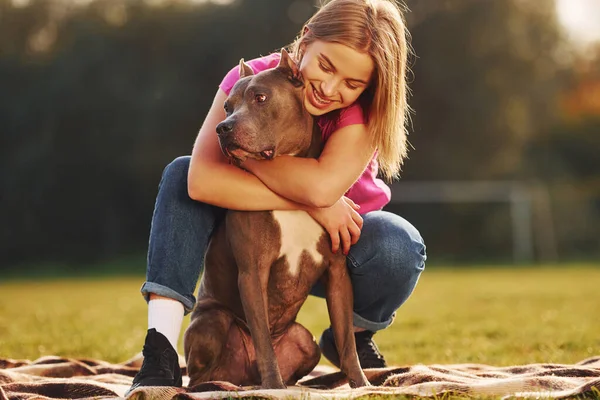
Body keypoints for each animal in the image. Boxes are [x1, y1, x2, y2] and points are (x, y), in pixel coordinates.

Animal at [183, 50, 370, 390]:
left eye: (261, 97)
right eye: (227, 106)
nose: (222, 128)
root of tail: (244, 378)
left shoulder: (338, 274)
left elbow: (347, 339)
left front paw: (362, 385)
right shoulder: (253, 273)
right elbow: (263, 341)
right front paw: (274, 386)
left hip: (304, 340)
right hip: (212, 323)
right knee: (197, 376)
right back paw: (222, 386)